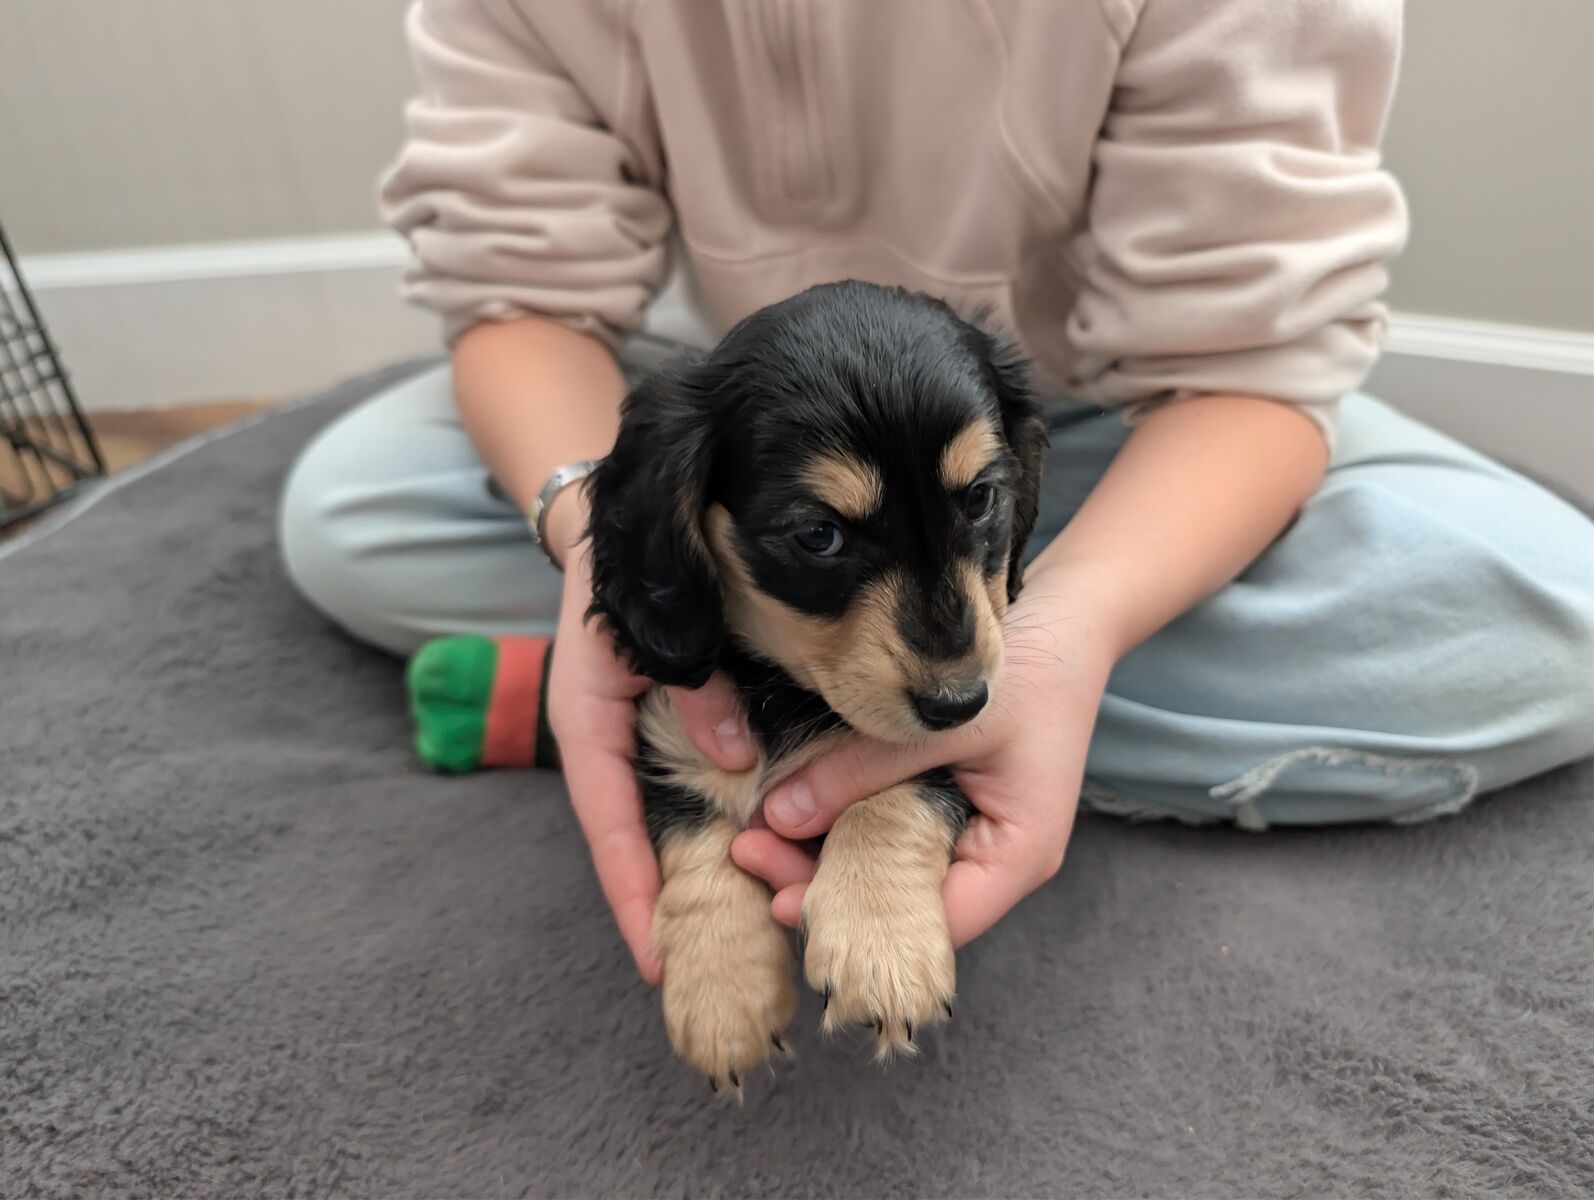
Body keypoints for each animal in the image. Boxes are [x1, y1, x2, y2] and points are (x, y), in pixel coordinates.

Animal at [584, 280, 1047, 1093]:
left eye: (981, 498)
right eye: (818, 535)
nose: (959, 702)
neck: (786, 689)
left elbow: (897, 784)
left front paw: (879, 940)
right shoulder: (671, 730)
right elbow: (699, 837)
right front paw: (722, 990)